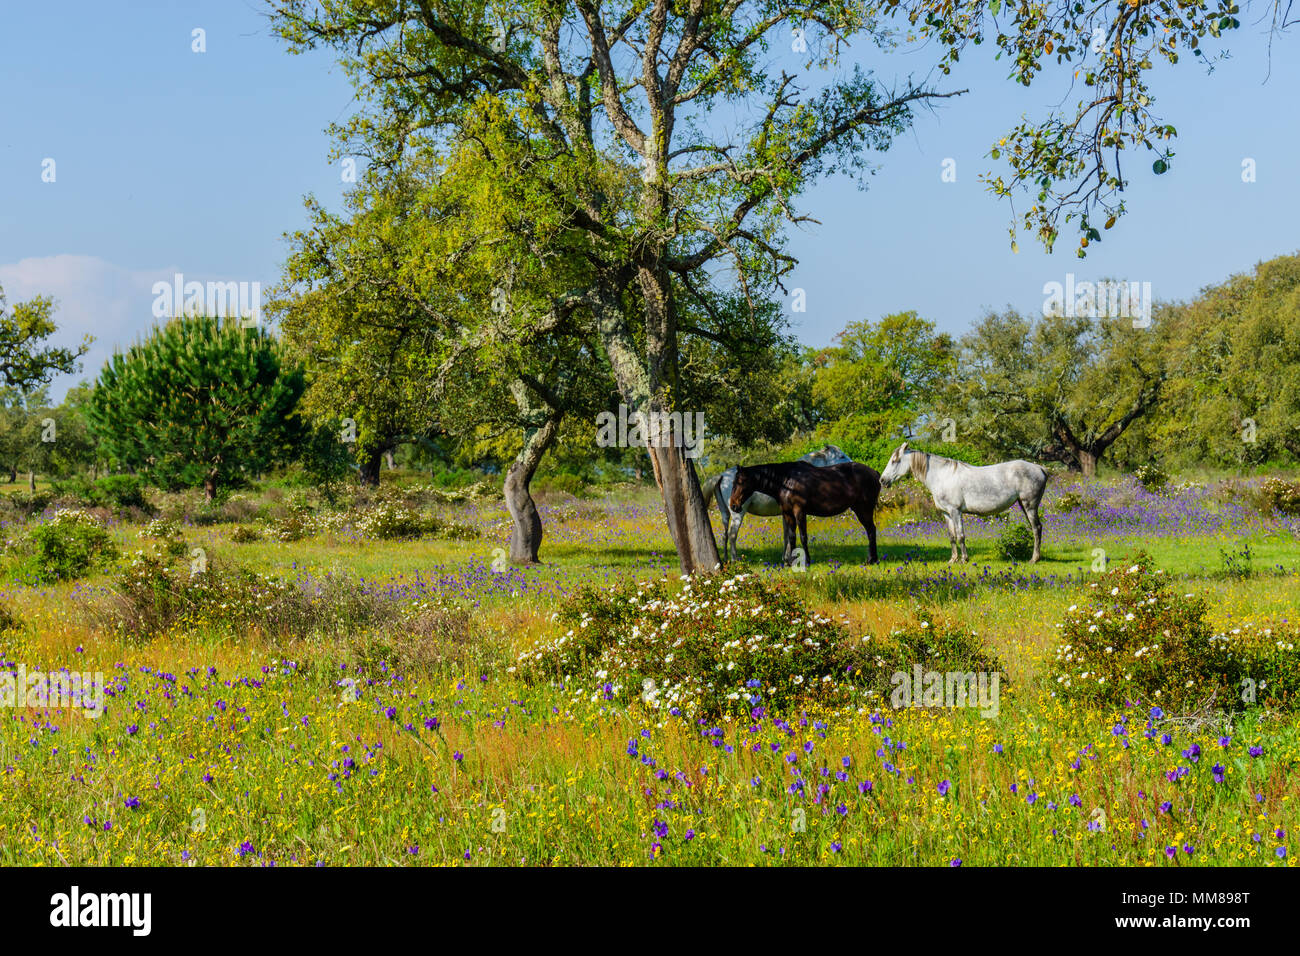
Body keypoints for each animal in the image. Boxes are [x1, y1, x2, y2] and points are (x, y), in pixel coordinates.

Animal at [701, 445, 851, 561]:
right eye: (841, 456)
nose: (851, 463)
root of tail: (722, 475)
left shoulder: (786, 514)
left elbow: (786, 536)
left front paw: (785, 558)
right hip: (737, 513)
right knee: (732, 535)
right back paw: (734, 559)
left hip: (725, 513)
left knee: (725, 535)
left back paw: (726, 559)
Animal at [728, 461, 880, 567]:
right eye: (733, 482)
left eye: (740, 481)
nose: (733, 505)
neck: (786, 481)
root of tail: (875, 473)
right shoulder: (788, 513)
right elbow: (791, 537)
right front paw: (791, 561)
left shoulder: (799, 511)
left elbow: (803, 537)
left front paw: (806, 560)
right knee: (870, 530)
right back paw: (872, 559)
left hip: (864, 509)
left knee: (871, 530)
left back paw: (871, 560)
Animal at [878, 442, 1049, 563]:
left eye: (895, 460)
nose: (882, 480)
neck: (942, 476)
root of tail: (1039, 468)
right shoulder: (946, 513)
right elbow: (952, 536)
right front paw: (952, 559)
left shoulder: (956, 511)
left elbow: (960, 535)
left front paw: (964, 559)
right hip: (1023, 504)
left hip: (1030, 505)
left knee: (1037, 528)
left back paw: (1034, 559)